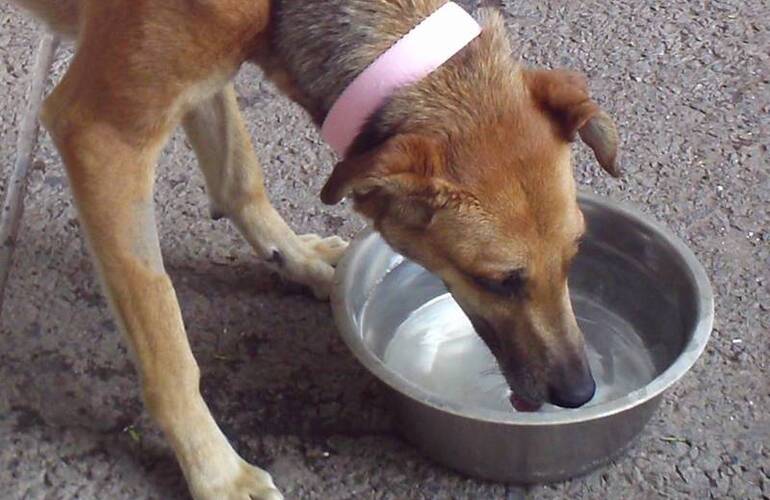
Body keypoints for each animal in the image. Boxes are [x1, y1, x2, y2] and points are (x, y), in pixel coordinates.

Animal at [7, 1, 616, 498]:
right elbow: (166, 342)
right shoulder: (103, 139)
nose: (580, 392)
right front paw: (215, 472)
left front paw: (293, 257)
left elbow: (238, 173)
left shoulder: (204, 77)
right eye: (495, 280)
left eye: (575, 254)